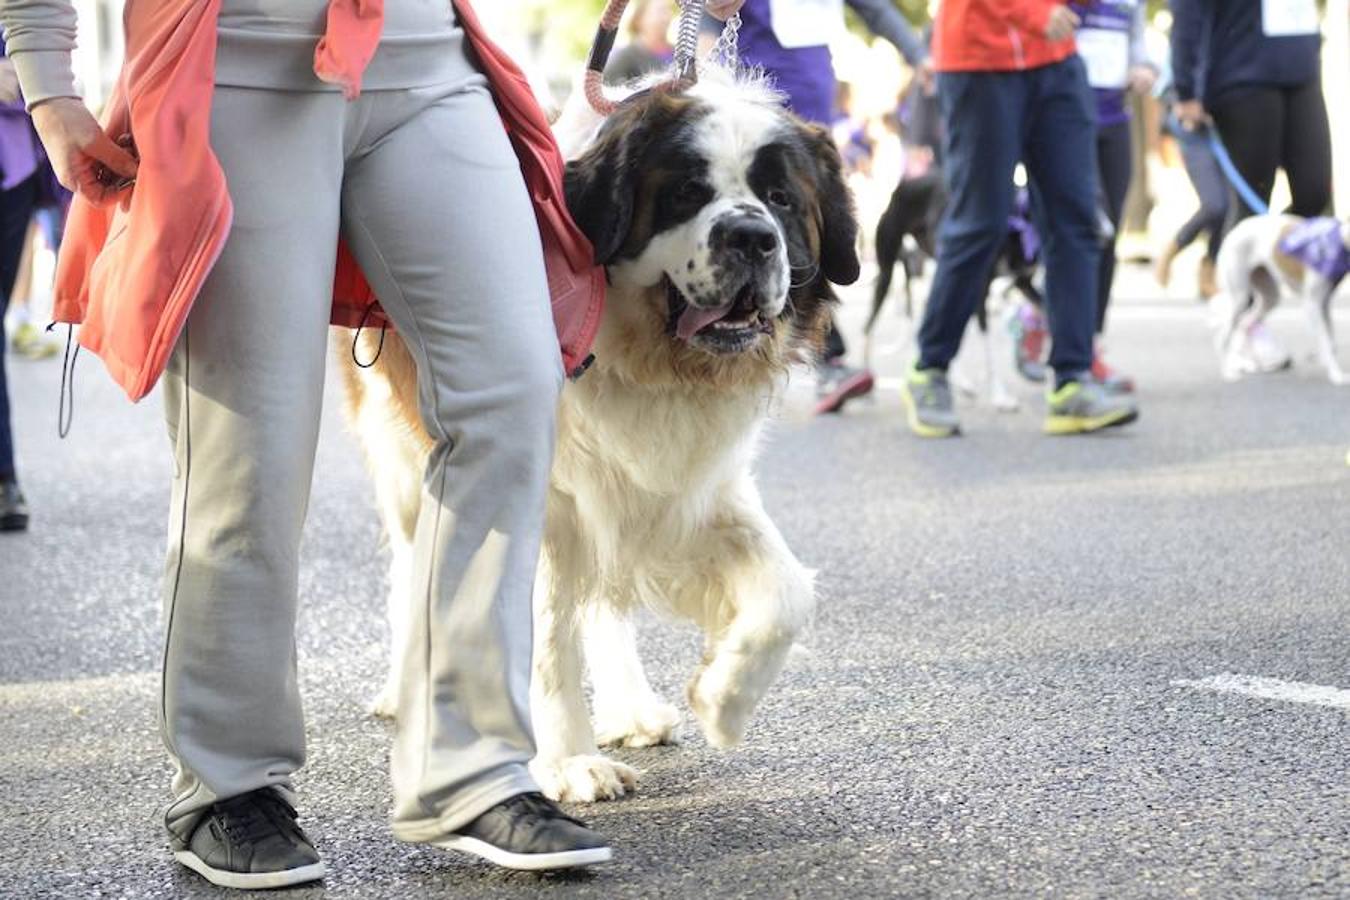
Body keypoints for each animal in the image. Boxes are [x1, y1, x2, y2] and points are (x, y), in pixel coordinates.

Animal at [342, 68, 858, 804]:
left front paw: (722, 701)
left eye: (781, 198)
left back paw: (632, 707)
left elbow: (787, 591)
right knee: (416, 568)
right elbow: (543, 636)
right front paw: (565, 761)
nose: (751, 238)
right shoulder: (536, 496)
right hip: (403, 456)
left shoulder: (696, 489)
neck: (645, 356)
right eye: (685, 192)